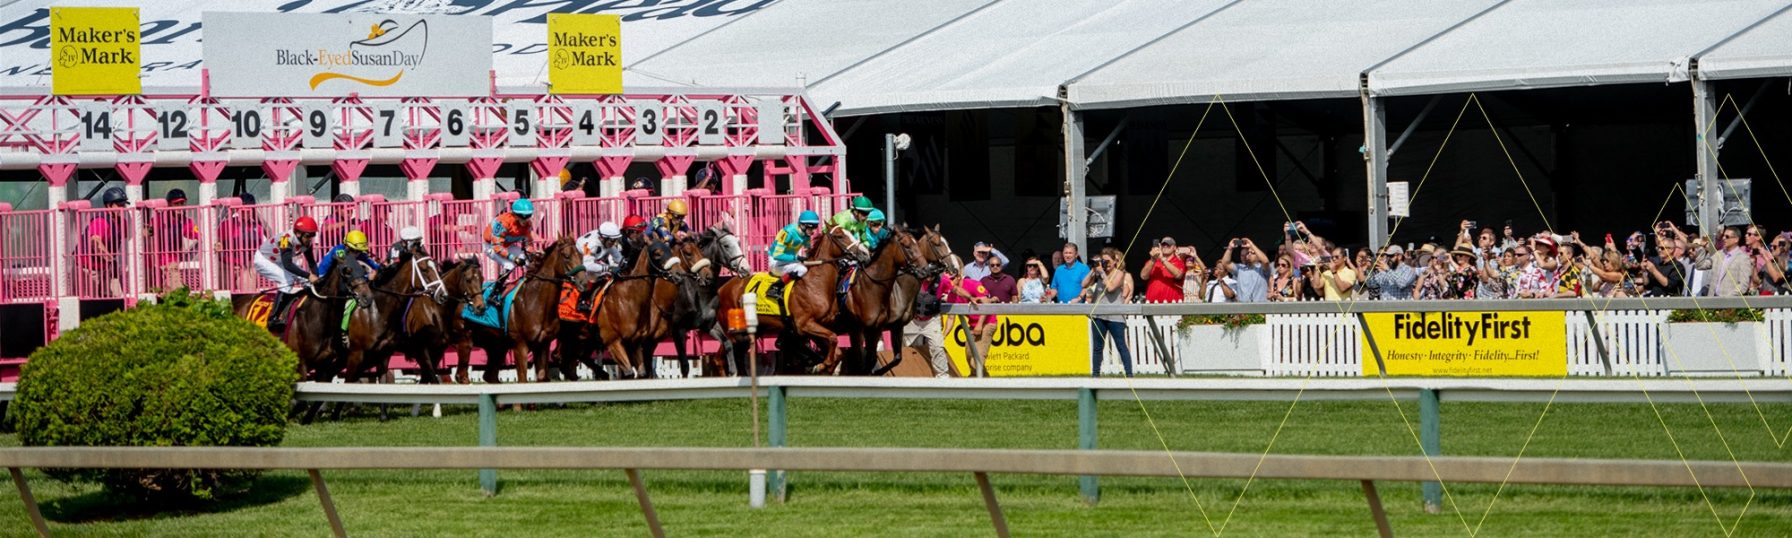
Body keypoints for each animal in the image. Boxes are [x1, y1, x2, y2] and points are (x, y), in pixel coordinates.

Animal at [713, 225, 867, 374]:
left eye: (851, 232)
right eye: (839, 236)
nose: (865, 253)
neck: (815, 283)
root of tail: (721, 289)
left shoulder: (816, 326)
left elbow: (836, 348)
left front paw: (823, 366)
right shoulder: (804, 324)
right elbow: (833, 338)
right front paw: (821, 365)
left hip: (750, 333)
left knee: (735, 358)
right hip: (734, 334)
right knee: (720, 359)